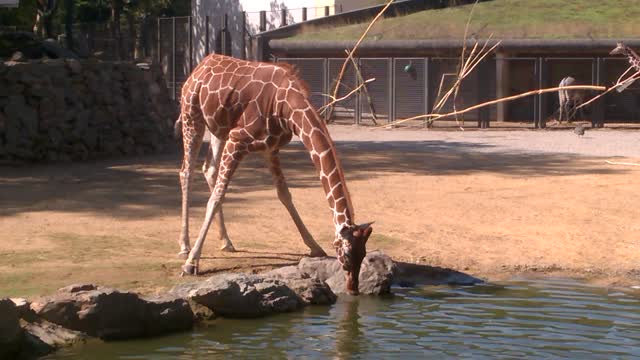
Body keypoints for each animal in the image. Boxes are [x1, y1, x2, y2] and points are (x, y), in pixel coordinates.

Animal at [178, 54, 372, 296]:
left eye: (364, 254)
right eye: (345, 256)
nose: (353, 289)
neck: (287, 108)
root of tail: (201, 64)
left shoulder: (270, 148)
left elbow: (284, 194)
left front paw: (314, 246)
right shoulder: (237, 139)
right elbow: (216, 198)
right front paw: (191, 264)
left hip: (218, 128)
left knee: (209, 169)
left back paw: (226, 241)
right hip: (192, 116)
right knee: (186, 171)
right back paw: (185, 247)